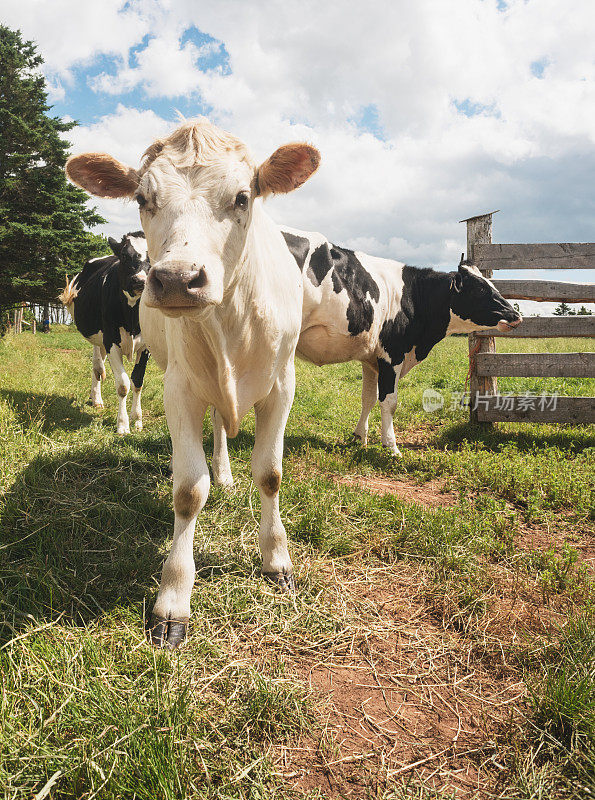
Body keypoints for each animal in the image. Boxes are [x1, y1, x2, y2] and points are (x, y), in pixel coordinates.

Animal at [60, 231, 151, 434]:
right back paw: (97, 399)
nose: (140, 281)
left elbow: (137, 381)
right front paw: (123, 425)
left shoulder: (147, 346)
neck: (132, 314)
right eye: (125, 256)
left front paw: (137, 420)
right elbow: (123, 384)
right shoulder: (111, 340)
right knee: (97, 367)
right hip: (98, 335)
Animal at [280, 228, 520, 454]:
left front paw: (359, 437)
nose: (515, 315)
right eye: (480, 289)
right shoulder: (392, 354)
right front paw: (391, 446)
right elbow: (389, 401)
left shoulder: (370, 357)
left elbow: (368, 397)